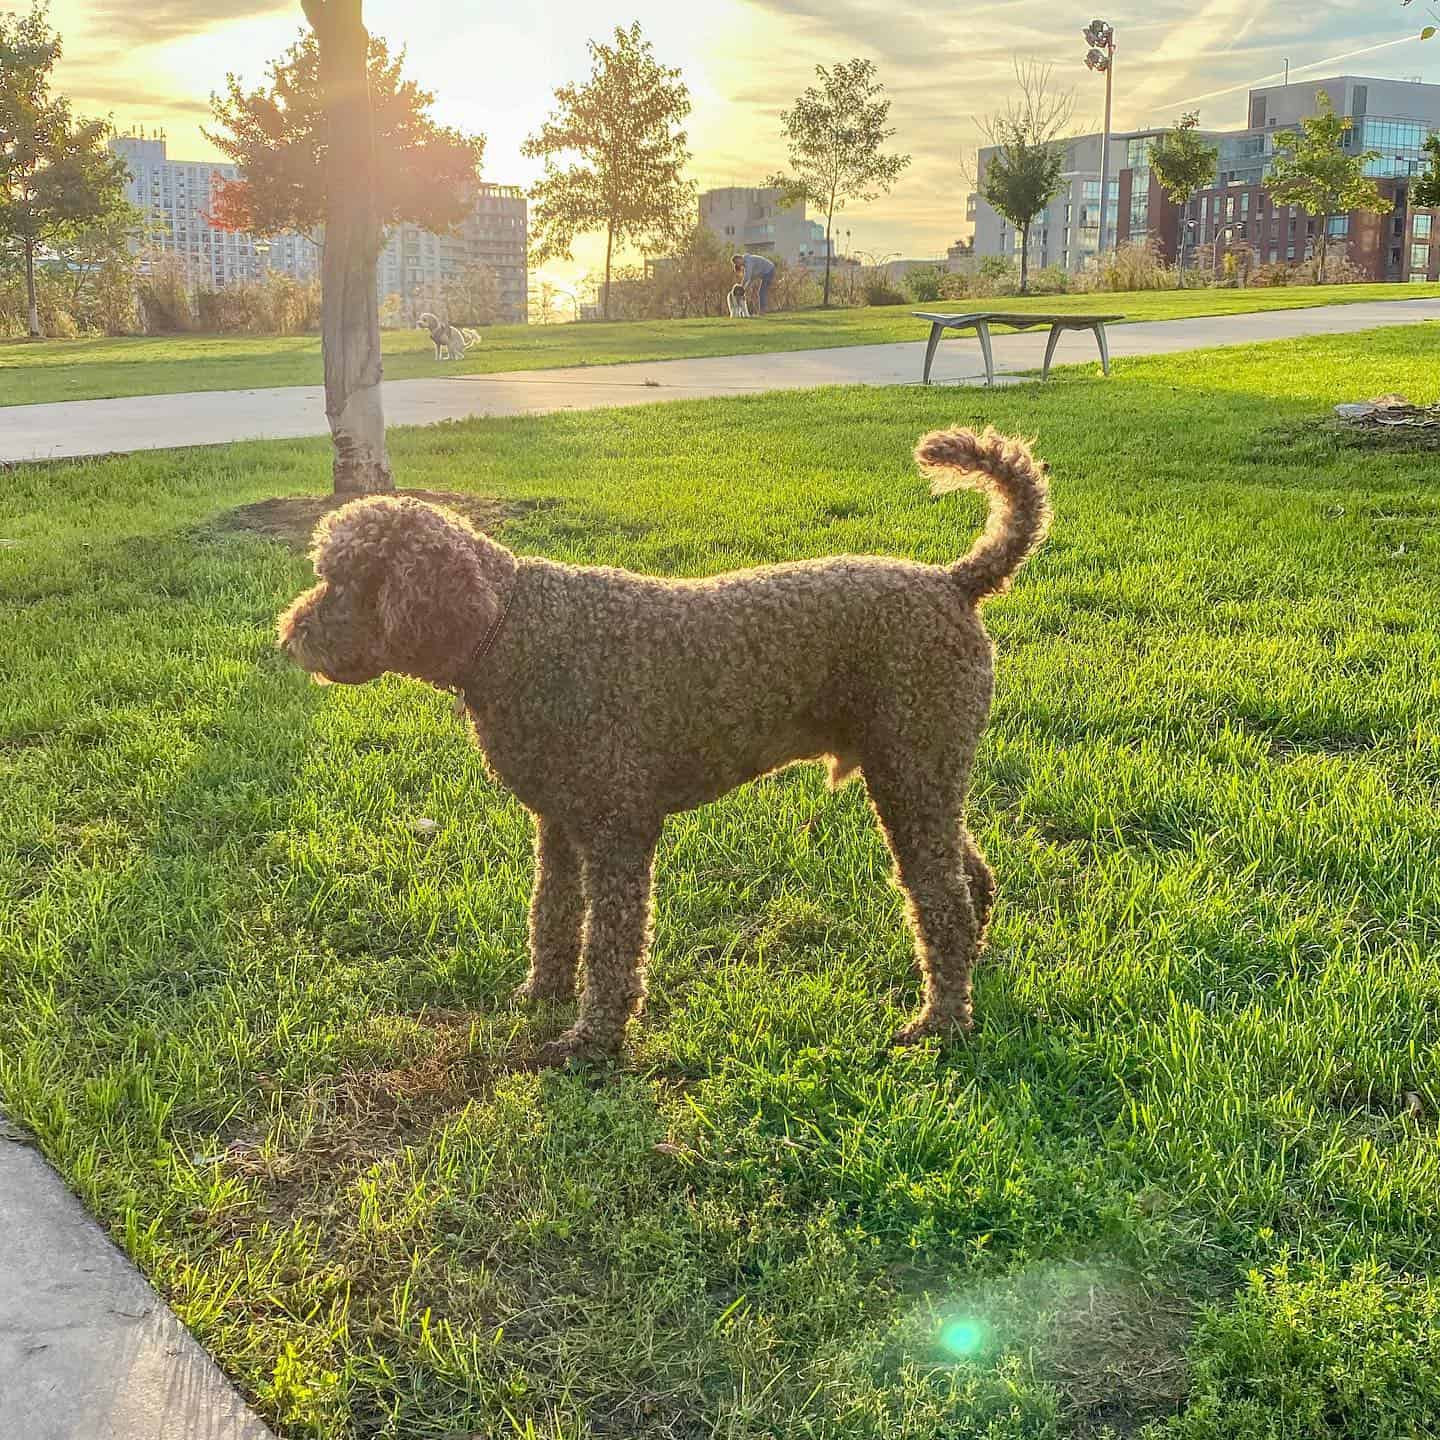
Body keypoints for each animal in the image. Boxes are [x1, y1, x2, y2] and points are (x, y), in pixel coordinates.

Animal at [277, 420, 1048, 1065]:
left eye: (341, 582)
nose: (290, 637)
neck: (513, 632)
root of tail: (954, 582)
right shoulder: (560, 824)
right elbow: (554, 916)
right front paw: (542, 995)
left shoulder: (619, 828)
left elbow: (611, 943)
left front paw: (592, 1040)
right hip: (921, 772)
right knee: (968, 877)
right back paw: (971, 968)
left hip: (911, 769)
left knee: (940, 902)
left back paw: (942, 1020)